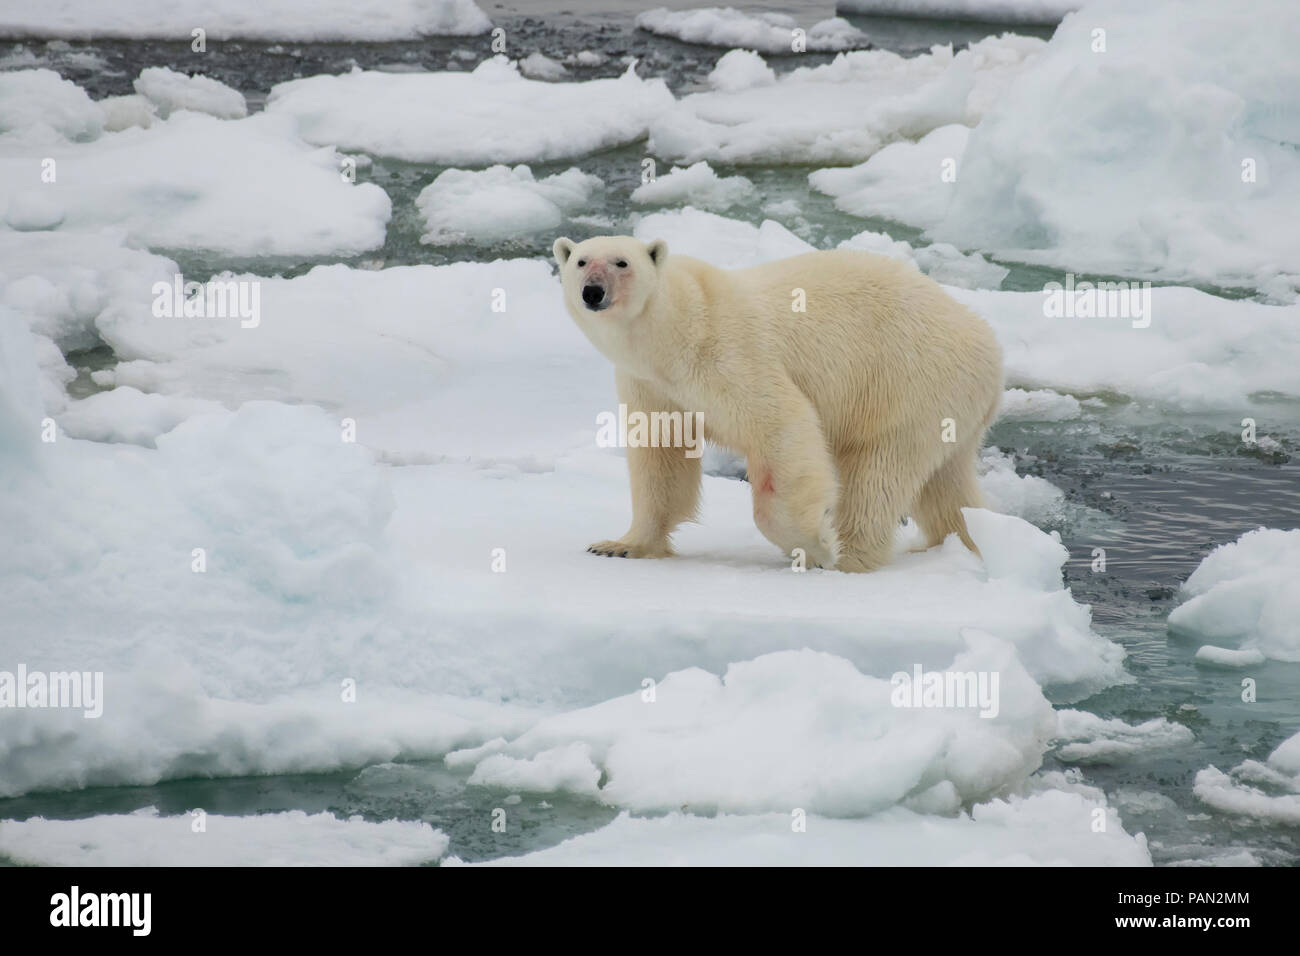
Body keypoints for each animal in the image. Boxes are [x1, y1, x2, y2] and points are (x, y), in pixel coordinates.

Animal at [553, 234, 998, 572]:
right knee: (946, 487)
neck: (675, 333)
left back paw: (848, 558)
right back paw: (962, 542)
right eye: (581, 261)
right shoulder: (653, 386)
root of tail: (987, 344)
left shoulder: (729, 356)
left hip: (908, 382)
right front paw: (618, 545)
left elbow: (781, 427)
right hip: (947, 406)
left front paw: (815, 547)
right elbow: (661, 457)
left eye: (622, 262)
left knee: (877, 474)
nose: (593, 291)